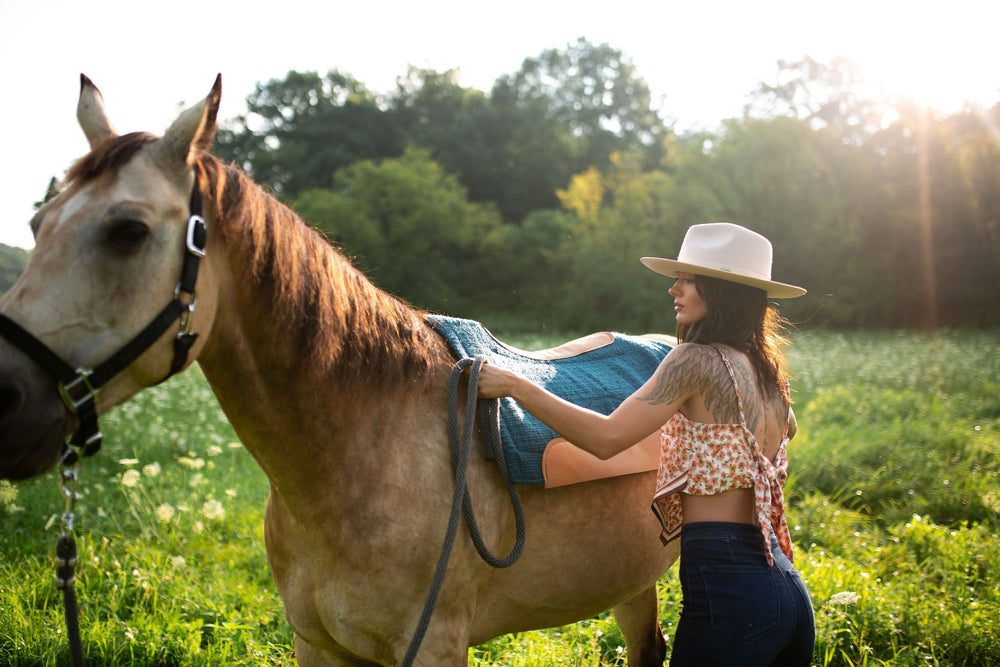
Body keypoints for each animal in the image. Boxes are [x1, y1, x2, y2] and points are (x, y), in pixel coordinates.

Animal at [0, 75, 680, 664]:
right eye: (36, 224)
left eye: (128, 231)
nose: (7, 397)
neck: (357, 457)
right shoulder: (318, 645)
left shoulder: (433, 646)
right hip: (629, 580)